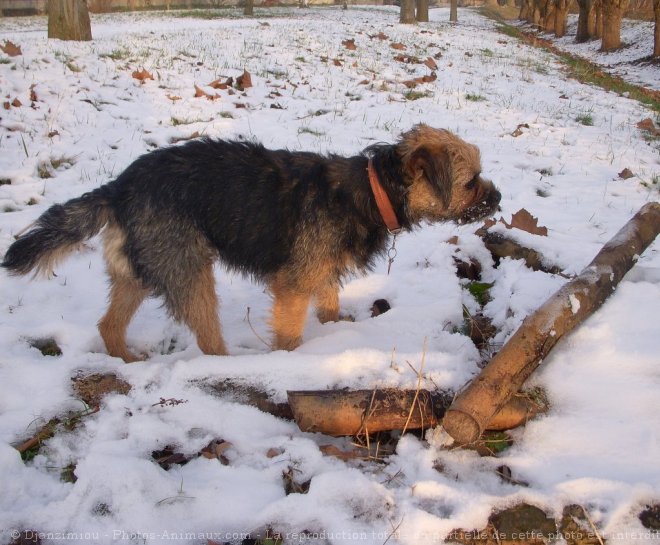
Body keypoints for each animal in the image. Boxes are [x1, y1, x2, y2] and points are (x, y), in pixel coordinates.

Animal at [0, 124, 500, 362]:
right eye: (471, 181)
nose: (497, 197)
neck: (371, 189)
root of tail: (118, 187)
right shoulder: (294, 285)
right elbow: (291, 333)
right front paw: (291, 362)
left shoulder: (321, 272)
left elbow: (329, 305)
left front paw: (337, 330)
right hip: (190, 270)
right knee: (207, 339)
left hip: (142, 268)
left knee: (109, 324)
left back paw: (126, 359)